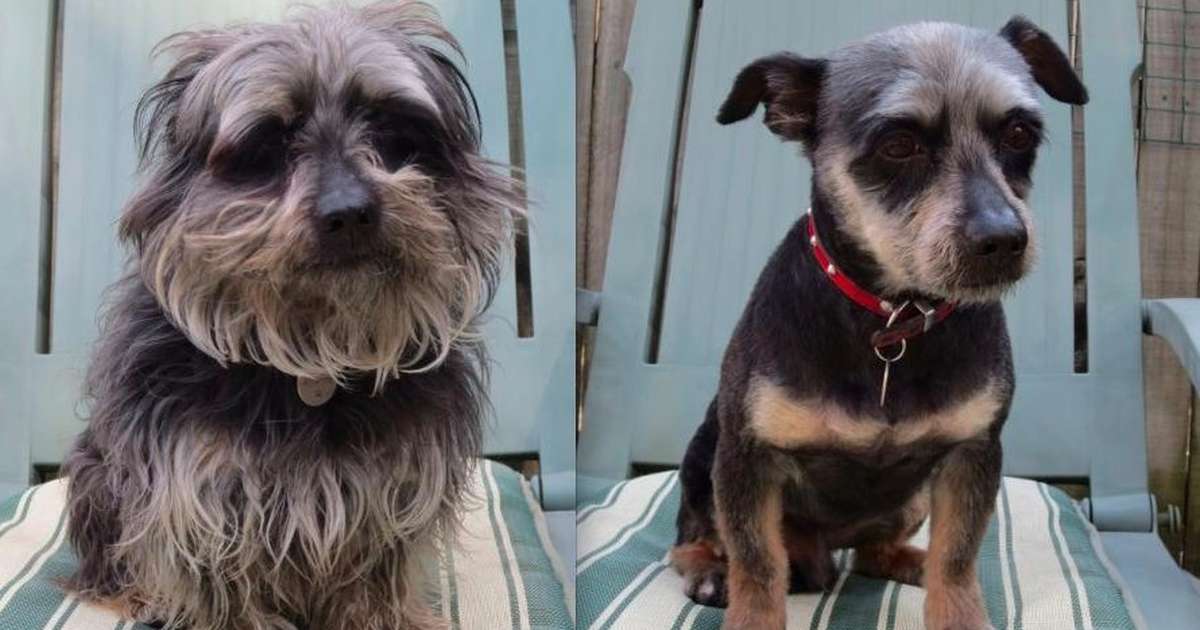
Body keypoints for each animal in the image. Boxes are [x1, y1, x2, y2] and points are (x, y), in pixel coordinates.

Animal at [59, 2, 520, 624]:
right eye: (269, 143)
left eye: (391, 129)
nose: (349, 212)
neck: (313, 357)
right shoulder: (199, 497)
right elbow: (222, 590)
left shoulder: (392, 494)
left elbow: (377, 581)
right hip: (95, 474)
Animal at [676, 14, 1089, 628]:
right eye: (898, 145)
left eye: (1019, 134)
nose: (1003, 239)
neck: (895, 317)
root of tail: (822, 552)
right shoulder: (746, 460)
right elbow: (757, 567)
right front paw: (745, 597)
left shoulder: (972, 454)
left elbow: (956, 560)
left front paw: (956, 606)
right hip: (702, 458)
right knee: (692, 536)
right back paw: (708, 568)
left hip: (909, 500)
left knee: (876, 553)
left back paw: (908, 560)